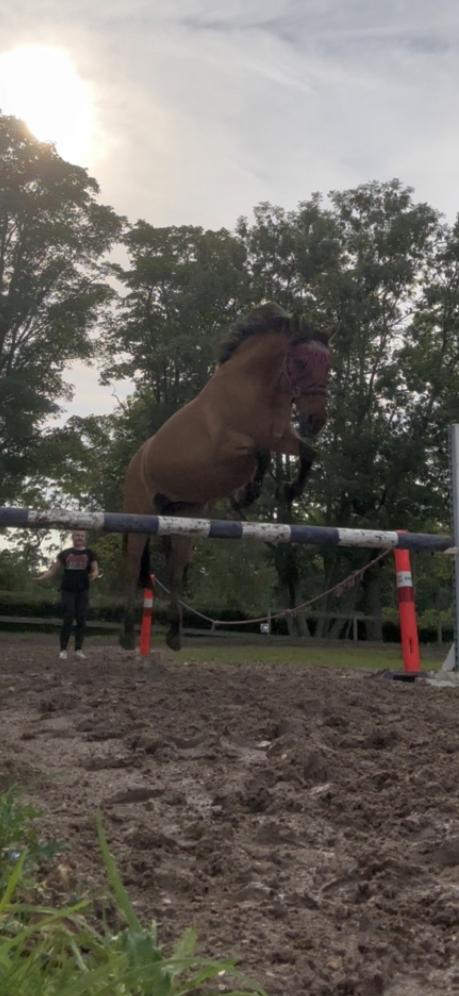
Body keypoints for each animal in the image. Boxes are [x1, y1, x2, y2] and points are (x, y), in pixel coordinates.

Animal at [120, 300, 332, 648]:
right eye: (300, 363)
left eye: (328, 365)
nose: (316, 421)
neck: (257, 388)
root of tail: (136, 460)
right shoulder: (229, 448)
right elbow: (260, 455)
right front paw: (246, 495)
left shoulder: (283, 438)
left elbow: (308, 454)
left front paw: (290, 490)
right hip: (140, 515)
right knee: (134, 562)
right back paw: (126, 635)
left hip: (186, 518)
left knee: (175, 569)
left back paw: (175, 635)